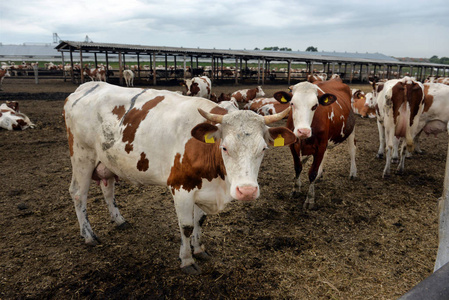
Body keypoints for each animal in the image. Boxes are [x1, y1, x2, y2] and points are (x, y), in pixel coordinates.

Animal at [63, 81, 294, 274]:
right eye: (225, 147)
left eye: (263, 148)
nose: (246, 191)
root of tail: (86, 86)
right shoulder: (181, 187)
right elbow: (187, 226)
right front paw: (187, 260)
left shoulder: (205, 188)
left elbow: (200, 221)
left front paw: (199, 249)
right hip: (82, 156)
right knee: (78, 194)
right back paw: (88, 235)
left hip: (107, 160)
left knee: (108, 188)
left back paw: (119, 220)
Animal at [272, 78, 356, 209]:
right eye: (292, 104)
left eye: (315, 106)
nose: (303, 131)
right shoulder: (293, 145)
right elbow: (298, 167)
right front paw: (296, 189)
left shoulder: (320, 146)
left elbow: (312, 173)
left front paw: (310, 199)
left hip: (351, 130)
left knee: (352, 150)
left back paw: (353, 172)